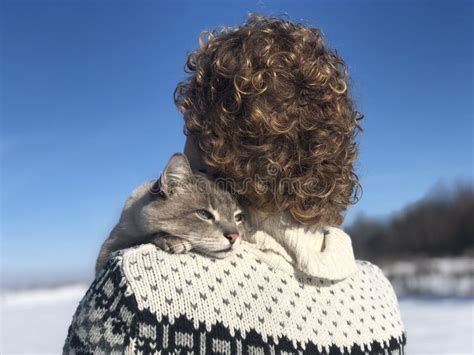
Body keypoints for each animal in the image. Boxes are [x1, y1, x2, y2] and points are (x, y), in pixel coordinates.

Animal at [95, 152, 246, 276]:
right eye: (204, 214)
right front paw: (174, 241)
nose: (234, 236)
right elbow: (144, 237)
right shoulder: (109, 248)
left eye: (237, 218)